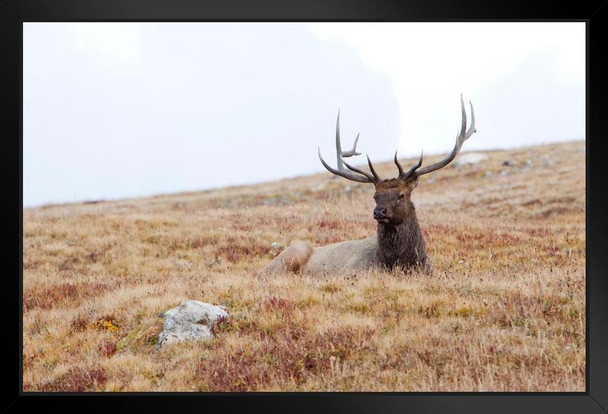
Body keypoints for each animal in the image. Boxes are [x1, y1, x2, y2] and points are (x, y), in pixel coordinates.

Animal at [260, 96, 476, 276]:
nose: (379, 211)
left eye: (401, 195)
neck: (401, 263)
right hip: (292, 253)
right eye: (375, 195)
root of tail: (262, 270)